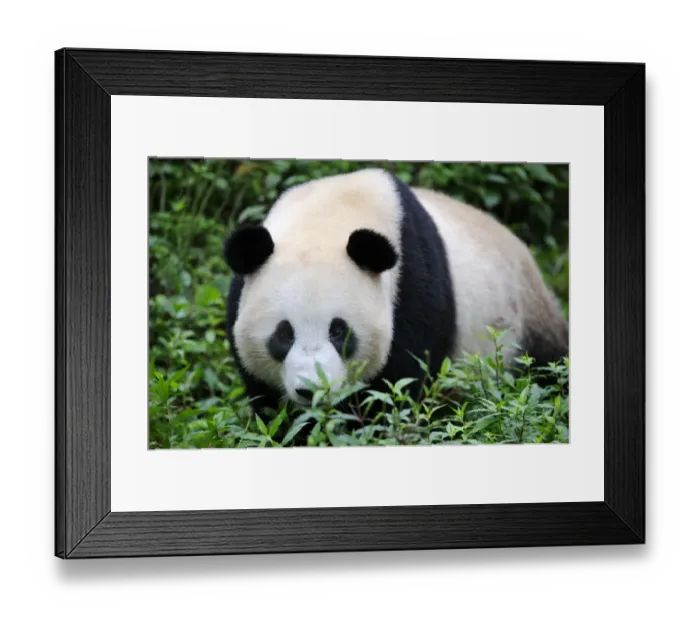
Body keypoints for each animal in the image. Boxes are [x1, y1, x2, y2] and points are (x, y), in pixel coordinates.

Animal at [223, 167, 568, 414]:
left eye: (339, 332)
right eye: (284, 334)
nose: (313, 390)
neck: (327, 217)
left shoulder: (413, 285)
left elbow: (401, 382)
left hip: (526, 320)